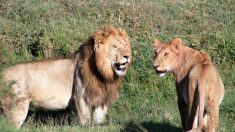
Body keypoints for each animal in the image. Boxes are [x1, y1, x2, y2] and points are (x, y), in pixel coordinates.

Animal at [0, 25, 132, 127]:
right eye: (114, 46)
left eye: (126, 44)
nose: (128, 56)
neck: (103, 73)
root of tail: (3, 72)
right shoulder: (81, 97)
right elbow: (85, 121)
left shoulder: (101, 98)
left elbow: (99, 119)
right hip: (16, 108)